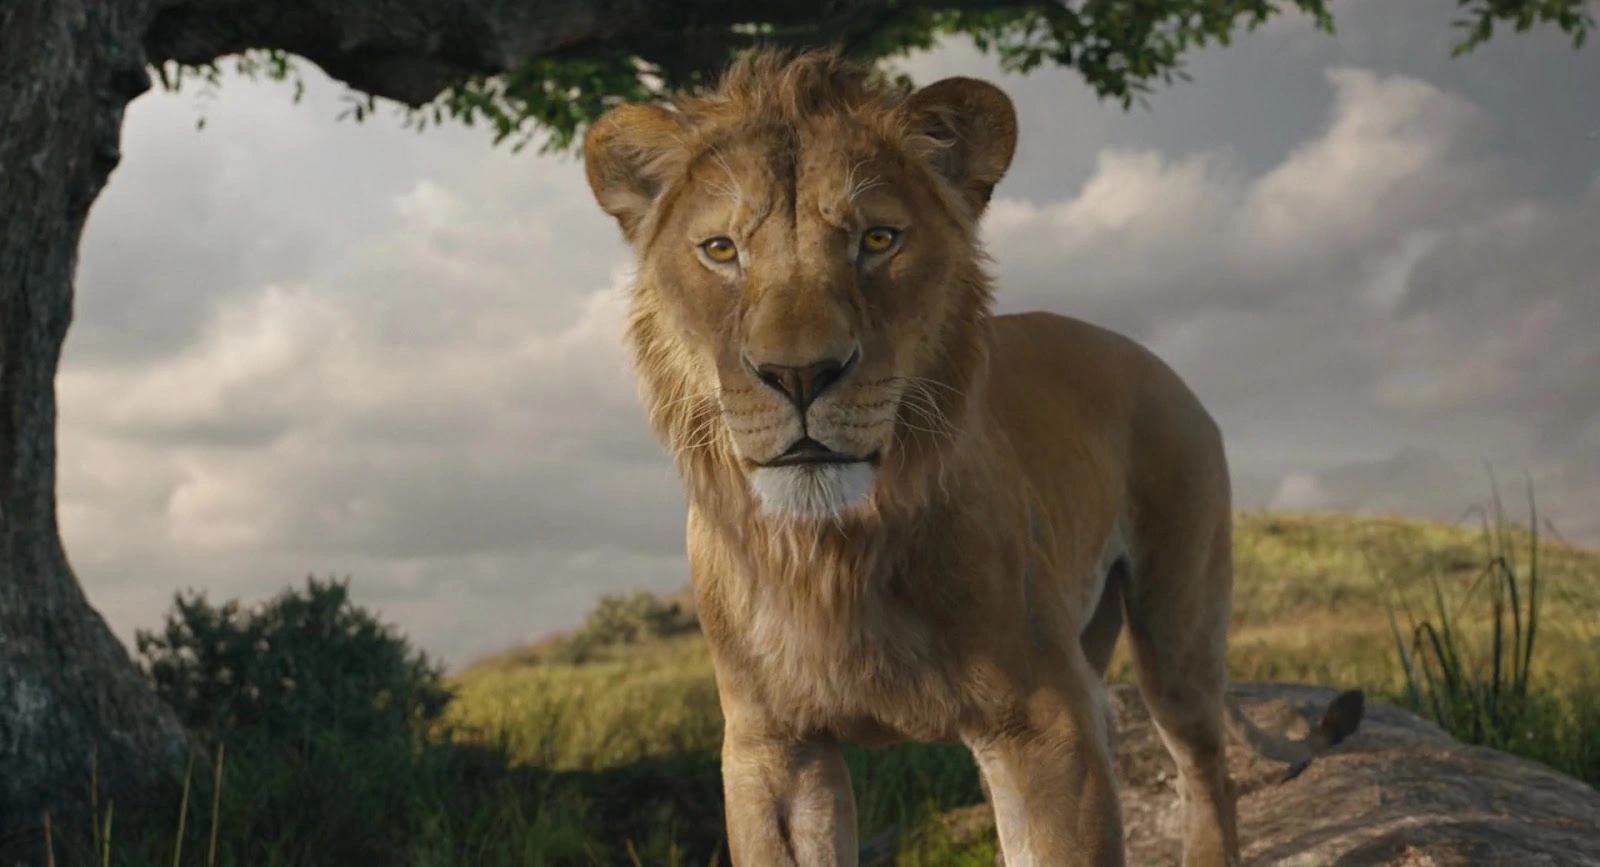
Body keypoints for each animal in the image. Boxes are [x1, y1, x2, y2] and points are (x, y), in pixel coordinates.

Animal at [581, 49, 1364, 867]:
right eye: (721, 250)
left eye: (878, 240)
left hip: (1178, 619)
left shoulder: (1042, 719)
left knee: (1204, 765)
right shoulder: (772, 744)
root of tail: (1156, 363)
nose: (799, 376)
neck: (830, 553)